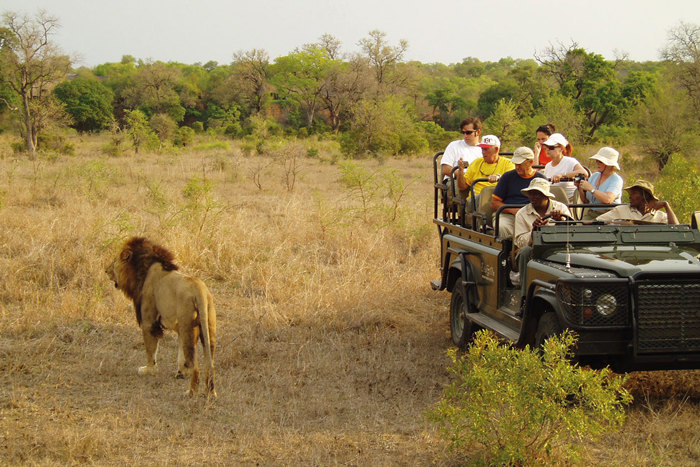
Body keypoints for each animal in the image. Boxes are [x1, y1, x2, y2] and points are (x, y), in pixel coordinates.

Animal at [105, 239, 216, 396]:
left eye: (115, 261)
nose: (106, 270)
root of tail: (199, 290)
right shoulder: (178, 326)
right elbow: (180, 354)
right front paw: (181, 372)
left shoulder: (148, 321)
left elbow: (150, 348)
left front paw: (149, 369)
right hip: (207, 326)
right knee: (210, 360)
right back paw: (211, 393)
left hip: (188, 326)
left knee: (195, 365)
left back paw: (191, 393)